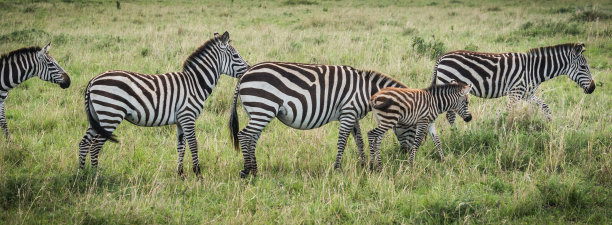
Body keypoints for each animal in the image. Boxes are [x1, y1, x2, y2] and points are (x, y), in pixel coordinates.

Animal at [77, 32, 250, 179]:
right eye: (236, 56)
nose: (249, 69)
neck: (195, 83)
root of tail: (92, 81)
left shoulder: (180, 120)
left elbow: (181, 146)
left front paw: (181, 174)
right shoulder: (188, 116)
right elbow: (193, 144)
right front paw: (198, 174)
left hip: (97, 117)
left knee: (84, 143)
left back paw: (81, 174)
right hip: (110, 115)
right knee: (95, 146)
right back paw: (96, 176)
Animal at [228, 61, 406, 178]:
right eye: (409, 124)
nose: (404, 156)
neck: (366, 91)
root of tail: (244, 75)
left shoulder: (353, 115)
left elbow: (359, 141)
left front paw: (363, 165)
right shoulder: (348, 112)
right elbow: (342, 142)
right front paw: (338, 169)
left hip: (256, 112)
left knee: (252, 138)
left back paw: (255, 171)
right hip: (263, 108)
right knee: (244, 135)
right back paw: (246, 171)